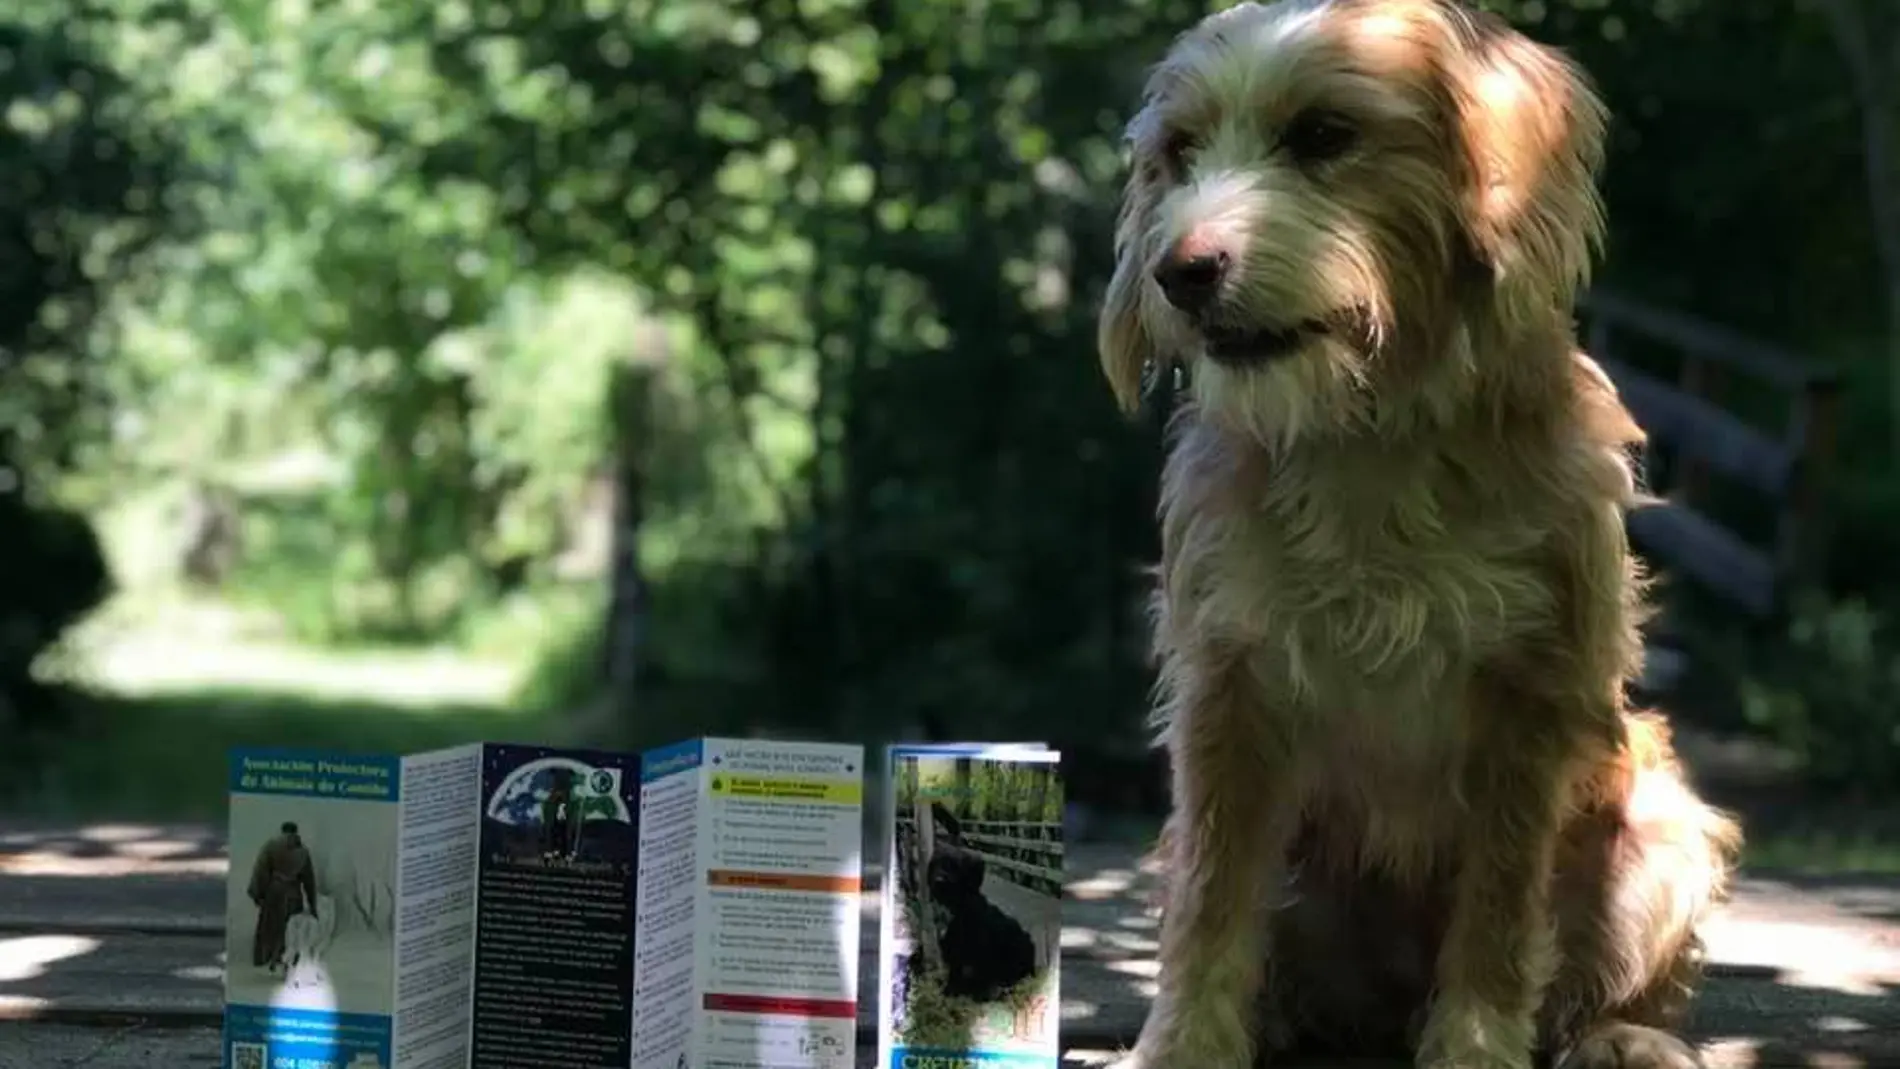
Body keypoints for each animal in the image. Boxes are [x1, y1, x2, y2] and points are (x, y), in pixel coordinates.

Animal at [923, 812, 1041, 1002]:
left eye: (955, 867)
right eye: (936, 864)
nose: (939, 881)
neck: (955, 908)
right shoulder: (954, 954)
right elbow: (954, 975)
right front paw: (949, 992)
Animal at [1102, 2, 1740, 1069]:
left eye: (1324, 135)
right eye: (1179, 151)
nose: (1179, 271)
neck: (1372, 434)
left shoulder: (1533, 693)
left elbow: (1500, 909)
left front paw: (1476, 1045)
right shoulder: (1227, 687)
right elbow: (1212, 898)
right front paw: (1181, 1044)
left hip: (1662, 823)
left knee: (1599, 980)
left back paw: (1623, 1032)